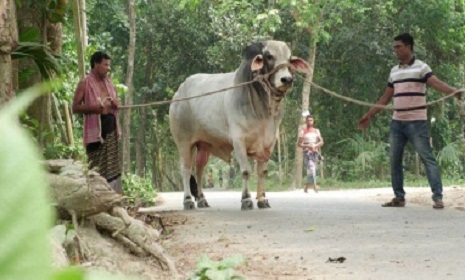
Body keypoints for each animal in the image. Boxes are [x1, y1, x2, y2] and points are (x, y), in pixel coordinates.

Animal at [167, 40, 308, 209]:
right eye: (269, 56)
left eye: (289, 58)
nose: (286, 79)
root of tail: (178, 93)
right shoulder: (239, 141)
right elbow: (246, 171)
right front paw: (246, 199)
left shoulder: (269, 143)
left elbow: (262, 172)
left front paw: (262, 200)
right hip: (184, 142)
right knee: (186, 169)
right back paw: (188, 201)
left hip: (204, 146)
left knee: (199, 169)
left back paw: (201, 199)